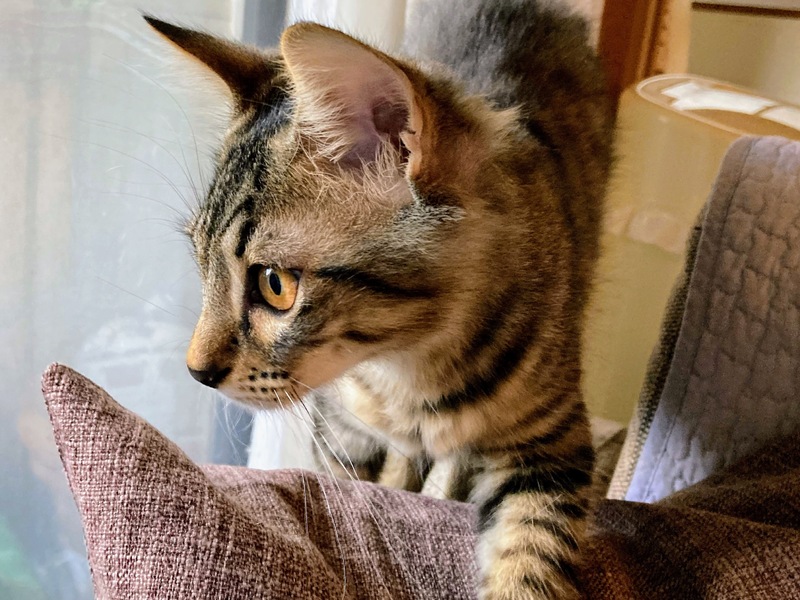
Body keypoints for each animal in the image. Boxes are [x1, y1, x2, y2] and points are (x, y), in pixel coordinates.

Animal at [147, 0, 613, 597]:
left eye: (275, 285)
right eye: (200, 260)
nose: (196, 371)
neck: (411, 371)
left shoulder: (553, 441)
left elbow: (530, 558)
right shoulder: (342, 434)